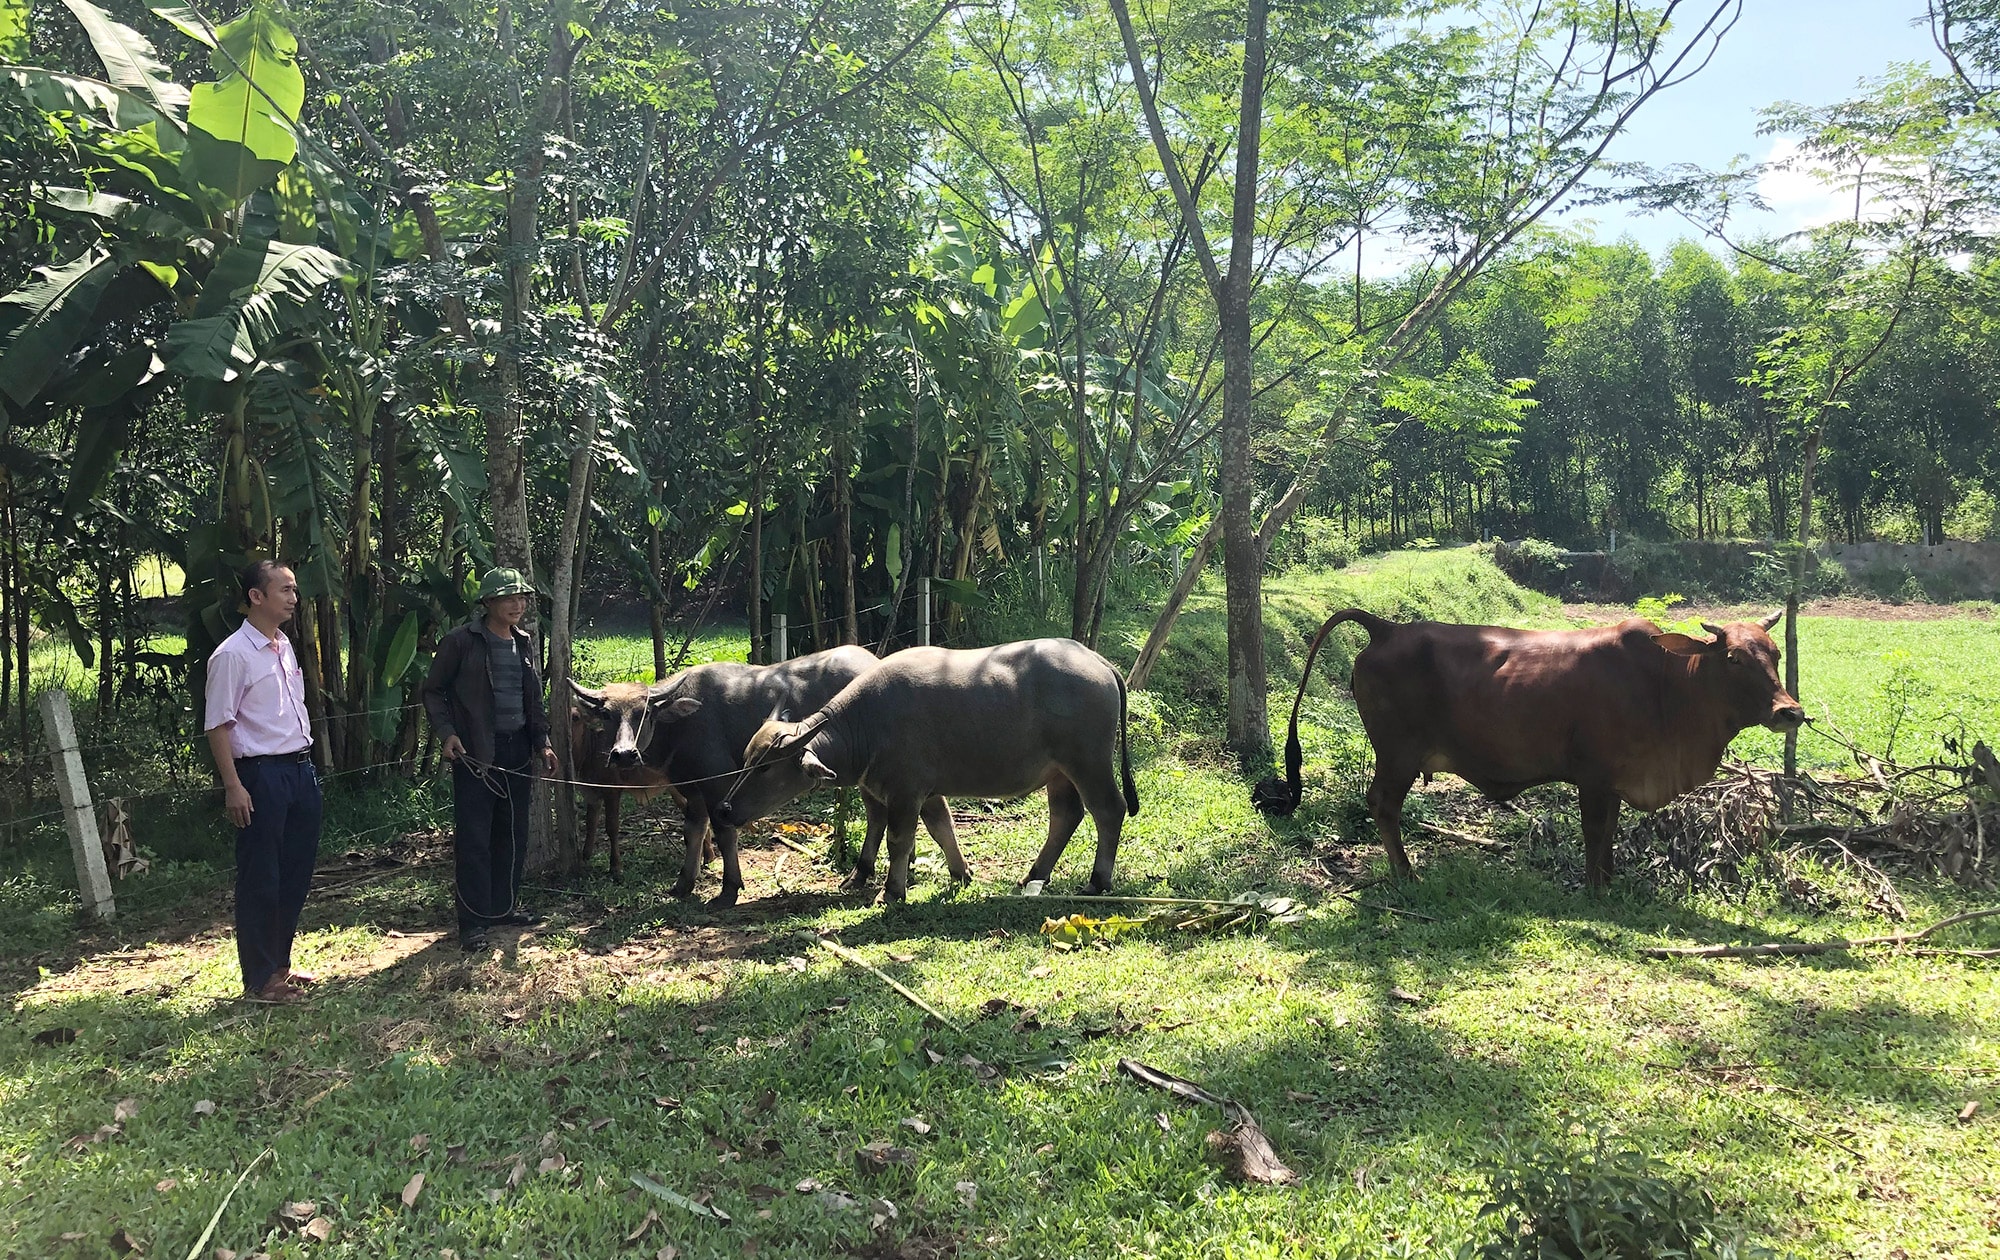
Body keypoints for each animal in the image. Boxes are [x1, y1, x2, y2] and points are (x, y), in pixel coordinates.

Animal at [576, 652, 956, 908]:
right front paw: (683, 884)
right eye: (606, 713)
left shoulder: (716, 783)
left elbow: (724, 831)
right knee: (881, 814)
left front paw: (729, 889)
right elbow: (693, 832)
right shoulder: (693, 789)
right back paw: (865, 873)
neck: (680, 725)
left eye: (644, 712)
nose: (624, 754)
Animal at [736, 640, 1144, 908]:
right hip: (1060, 772)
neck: (866, 725)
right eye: (746, 760)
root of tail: (1098, 661)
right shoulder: (922, 792)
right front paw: (961, 873)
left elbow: (898, 840)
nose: (727, 809)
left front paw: (892, 892)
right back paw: (1034, 875)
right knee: (1066, 815)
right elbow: (939, 828)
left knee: (1108, 809)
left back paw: (1097, 881)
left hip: (1088, 762)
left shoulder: (905, 792)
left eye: (766, 767)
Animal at [1264, 608, 1816, 888]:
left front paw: (1609, 880)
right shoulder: (1594, 777)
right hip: (1396, 754)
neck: (1667, 685)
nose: (1789, 711)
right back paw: (1406, 873)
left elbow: (1609, 832)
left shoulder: (1614, 780)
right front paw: (1596, 888)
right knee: (1383, 804)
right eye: (1734, 657)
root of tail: (1388, 628)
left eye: (1775, 653)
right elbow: (1595, 832)